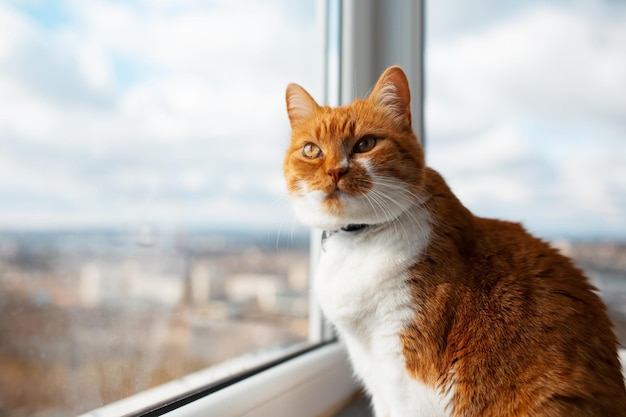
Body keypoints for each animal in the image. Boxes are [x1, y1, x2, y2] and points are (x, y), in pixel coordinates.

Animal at [282, 66, 624, 414]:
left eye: (365, 143)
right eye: (311, 150)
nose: (335, 171)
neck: (359, 239)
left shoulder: (409, 366)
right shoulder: (373, 373)